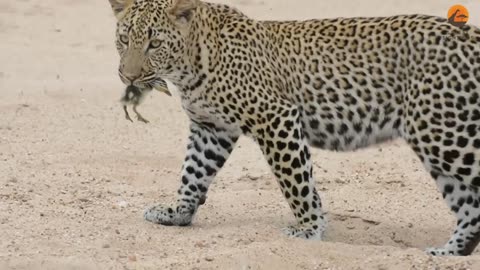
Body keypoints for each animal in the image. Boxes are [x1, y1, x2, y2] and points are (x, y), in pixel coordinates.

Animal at [107, 0, 480, 255]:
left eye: (155, 44)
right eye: (123, 39)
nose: (129, 77)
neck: (189, 66)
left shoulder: (276, 117)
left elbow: (296, 182)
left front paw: (309, 229)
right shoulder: (211, 129)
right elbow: (192, 173)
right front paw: (178, 213)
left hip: (444, 133)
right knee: (470, 208)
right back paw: (446, 253)